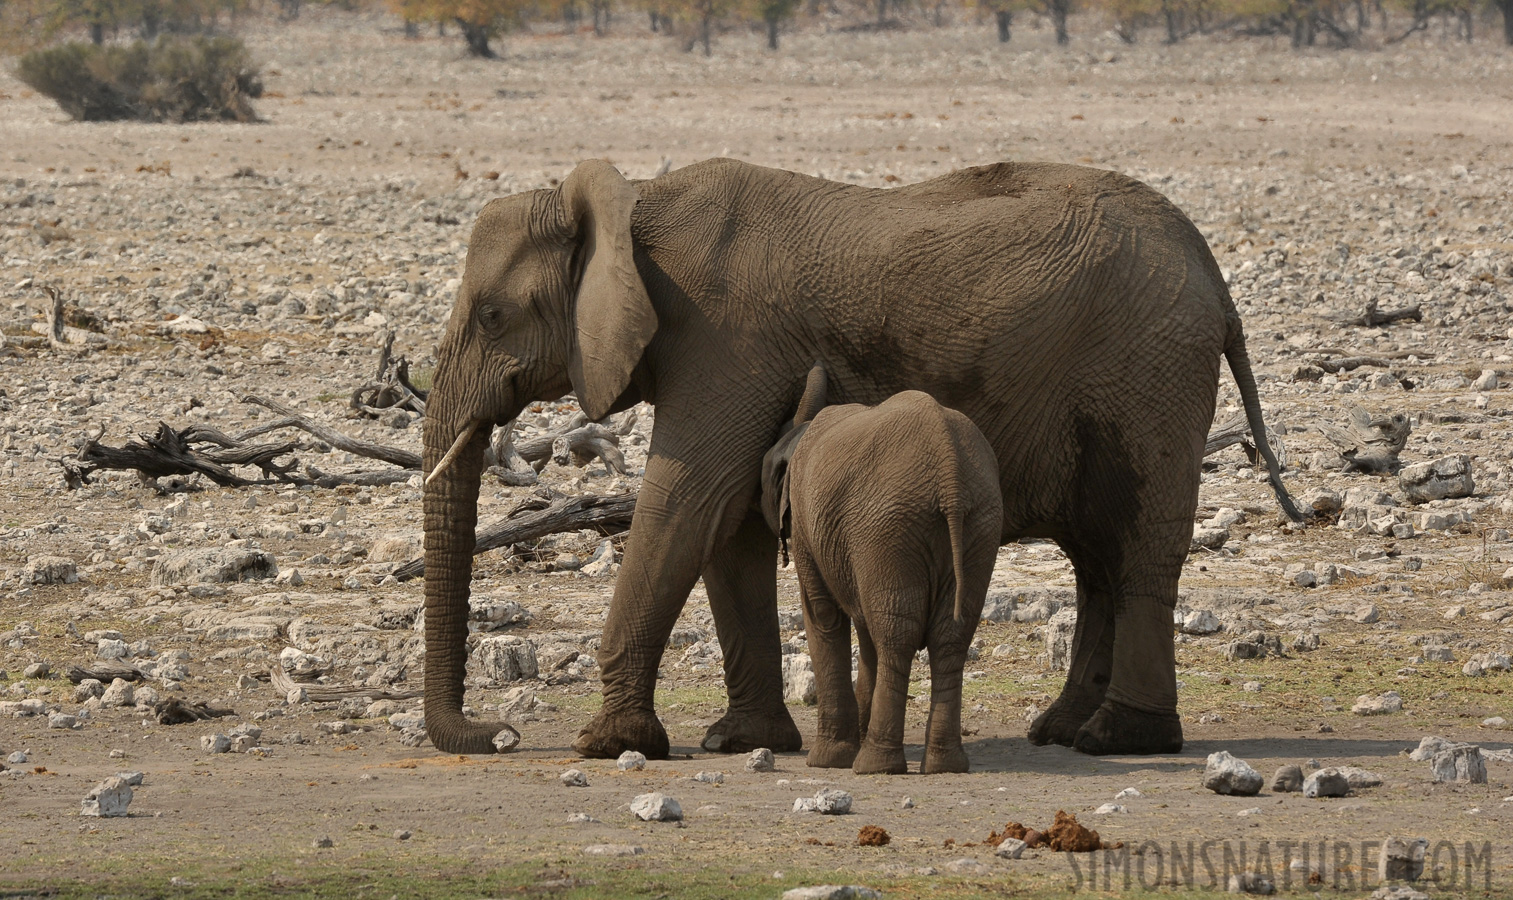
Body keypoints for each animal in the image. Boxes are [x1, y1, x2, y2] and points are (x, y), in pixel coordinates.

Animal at [762, 366, 998, 774]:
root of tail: (949, 470)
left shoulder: (810, 529)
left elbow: (823, 616)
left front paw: (825, 762)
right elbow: (864, 625)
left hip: (890, 527)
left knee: (896, 635)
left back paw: (874, 766)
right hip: (974, 524)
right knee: (949, 636)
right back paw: (944, 766)